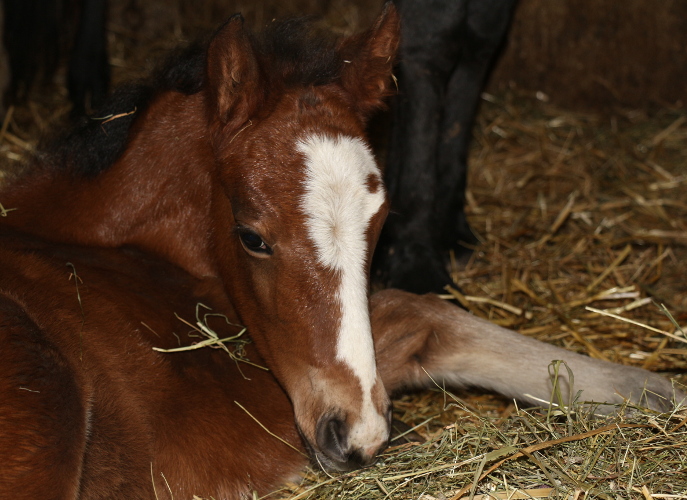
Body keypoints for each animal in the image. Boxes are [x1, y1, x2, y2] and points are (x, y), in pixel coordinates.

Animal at [0, 4, 680, 500]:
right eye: (252, 236)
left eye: (378, 226)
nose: (357, 432)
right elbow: (424, 315)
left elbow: (429, 320)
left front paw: (657, 396)